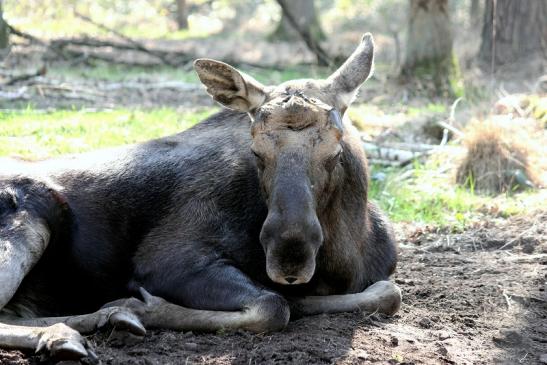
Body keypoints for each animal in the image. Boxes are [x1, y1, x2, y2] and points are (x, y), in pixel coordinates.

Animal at [0, 34, 402, 362]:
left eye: (336, 152)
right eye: (255, 152)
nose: (290, 258)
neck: (348, 251)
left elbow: (387, 292)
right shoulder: (167, 260)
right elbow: (272, 306)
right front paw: (142, 308)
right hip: (25, 220)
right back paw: (75, 331)